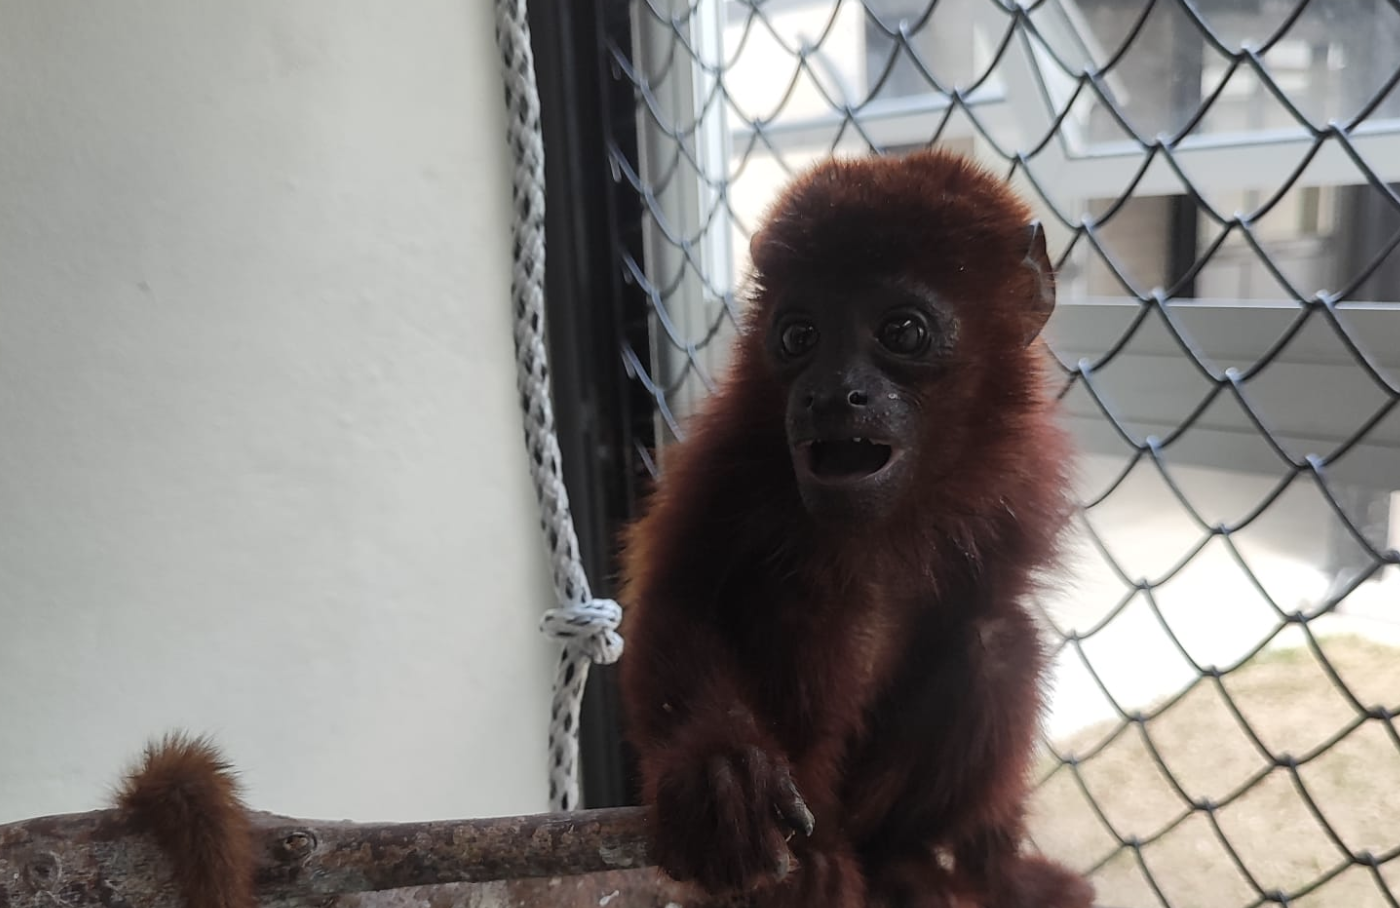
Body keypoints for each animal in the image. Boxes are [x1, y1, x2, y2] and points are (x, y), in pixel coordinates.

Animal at [615, 148, 1095, 908]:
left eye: (902, 332)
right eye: (798, 336)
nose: (831, 394)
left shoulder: (1021, 477)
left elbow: (992, 611)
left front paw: (998, 867)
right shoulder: (727, 452)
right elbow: (679, 598)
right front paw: (719, 770)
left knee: (997, 641)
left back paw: (906, 859)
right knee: (799, 600)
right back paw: (814, 863)